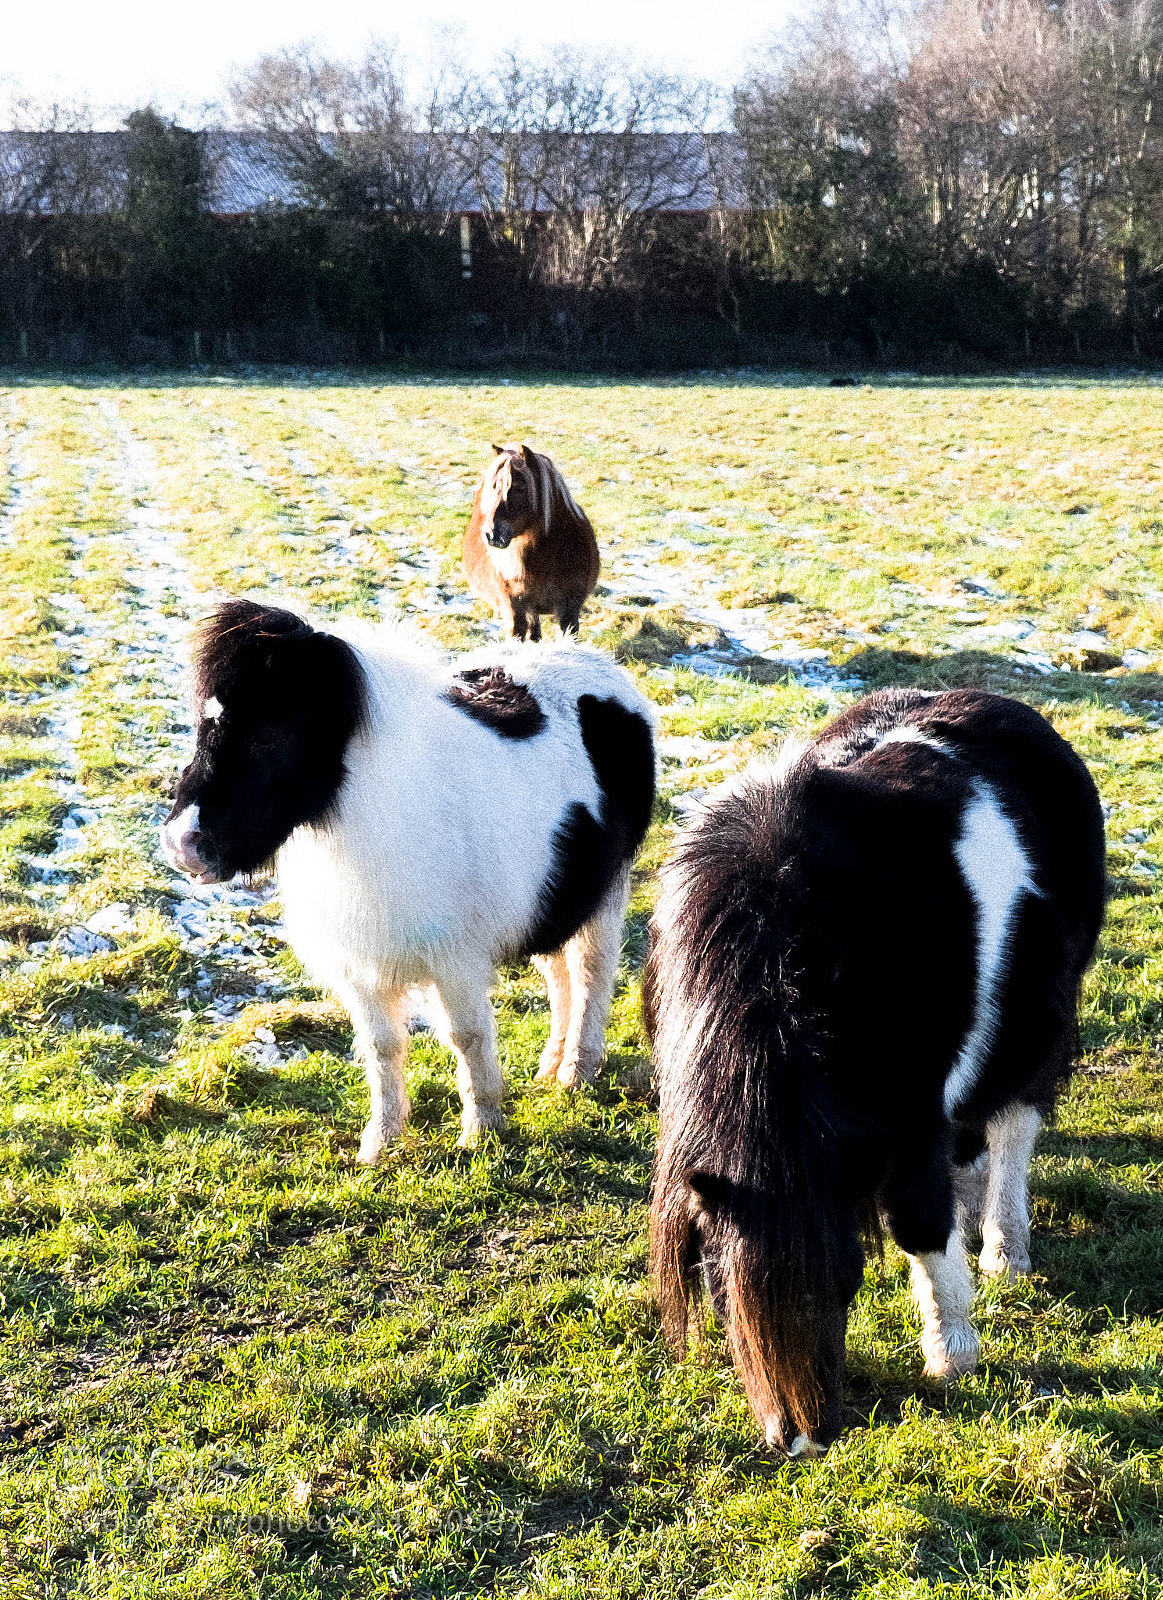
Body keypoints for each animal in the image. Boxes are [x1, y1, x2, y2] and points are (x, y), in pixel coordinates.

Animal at [161, 599, 655, 1155]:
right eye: (203, 729)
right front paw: (381, 1143)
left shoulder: (455, 960)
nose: (183, 844)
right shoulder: (362, 967)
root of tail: (598, 667)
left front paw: (481, 1133)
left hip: (605, 896)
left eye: (268, 735)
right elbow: (382, 1046)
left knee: (592, 974)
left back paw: (576, 1072)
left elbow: (467, 1036)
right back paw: (551, 1067)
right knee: (559, 976)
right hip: (553, 900)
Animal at [645, 687, 1105, 1456]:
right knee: (975, 1138)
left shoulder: (911, 1112)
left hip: (1035, 1018)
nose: (803, 1439)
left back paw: (1003, 1250)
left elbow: (917, 1219)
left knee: (1014, 1124)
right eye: (723, 1293)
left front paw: (952, 1352)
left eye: (846, 1282)